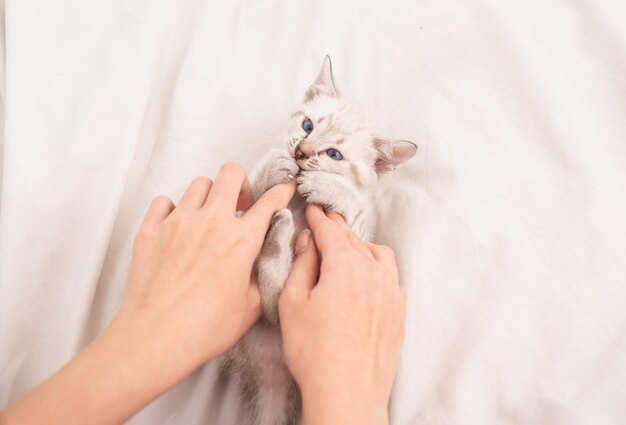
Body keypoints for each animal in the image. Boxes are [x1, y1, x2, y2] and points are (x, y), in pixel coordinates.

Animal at [222, 56, 416, 424]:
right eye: (308, 125)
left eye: (333, 155)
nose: (301, 151)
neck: (298, 202)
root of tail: (274, 373)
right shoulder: (245, 210)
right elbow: (253, 193)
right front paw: (274, 165)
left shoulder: (358, 235)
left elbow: (354, 206)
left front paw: (326, 186)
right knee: (272, 304)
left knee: (275, 305)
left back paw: (281, 235)